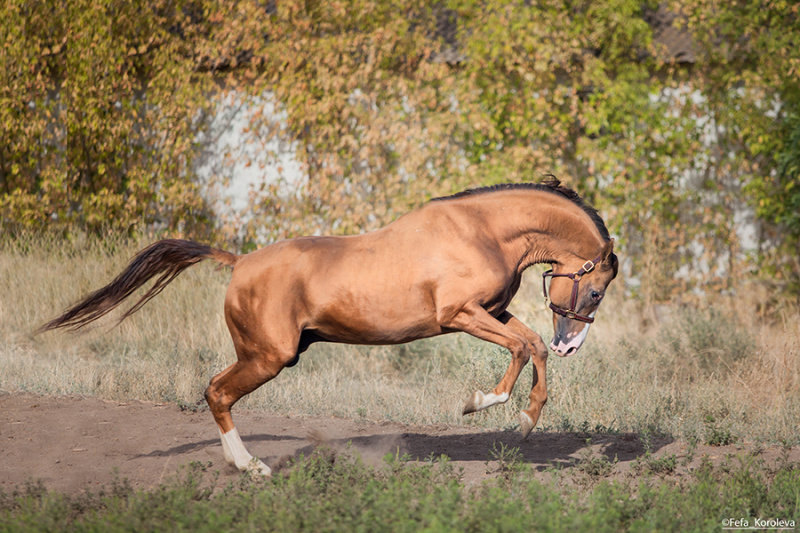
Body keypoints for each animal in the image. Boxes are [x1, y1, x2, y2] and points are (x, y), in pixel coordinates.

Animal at [39, 178, 620, 474]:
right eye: (595, 290)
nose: (572, 345)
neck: (484, 232)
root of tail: (239, 263)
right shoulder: (458, 315)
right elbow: (524, 349)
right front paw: (491, 407)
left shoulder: (490, 313)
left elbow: (528, 343)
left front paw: (522, 419)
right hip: (268, 357)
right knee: (216, 393)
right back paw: (251, 468)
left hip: (268, 355)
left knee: (214, 390)